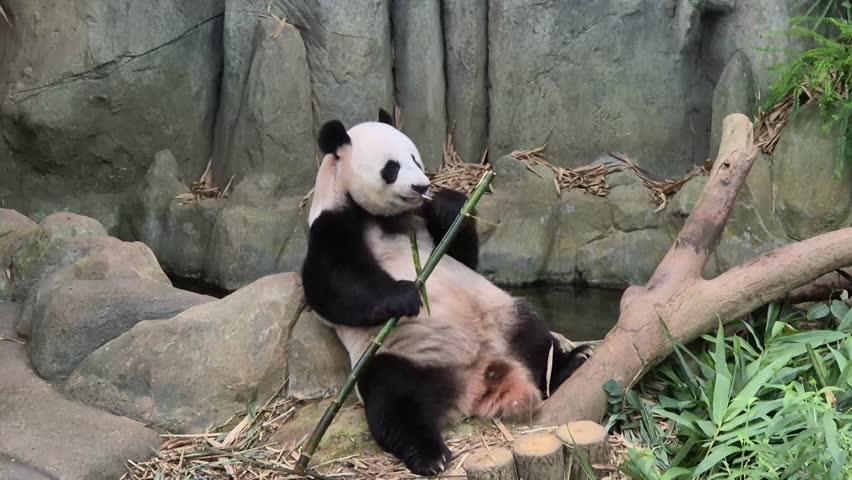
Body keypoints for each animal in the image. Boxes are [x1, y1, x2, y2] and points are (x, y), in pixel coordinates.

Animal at [301, 108, 591, 476]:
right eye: (392, 167)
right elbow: (330, 286)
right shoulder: (330, 224)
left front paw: (449, 204)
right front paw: (405, 296)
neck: (383, 218)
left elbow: (462, 253)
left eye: (415, 158)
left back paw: (572, 362)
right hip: (400, 356)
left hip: (505, 314)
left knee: (537, 341)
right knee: (394, 402)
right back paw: (429, 454)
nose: (422, 186)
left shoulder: (422, 222)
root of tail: (481, 375)